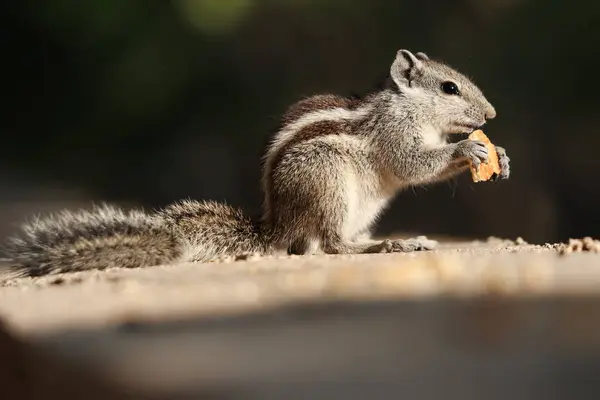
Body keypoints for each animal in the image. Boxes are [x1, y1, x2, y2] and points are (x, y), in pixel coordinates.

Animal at [3, 49, 510, 278]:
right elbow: (413, 166)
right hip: (328, 182)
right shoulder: (394, 136)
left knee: (322, 245)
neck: (407, 107)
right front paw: (468, 150)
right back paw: (390, 246)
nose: (491, 116)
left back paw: (398, 240)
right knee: (329, 247)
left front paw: (499, 156)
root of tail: (277, 226)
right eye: (449, 88)